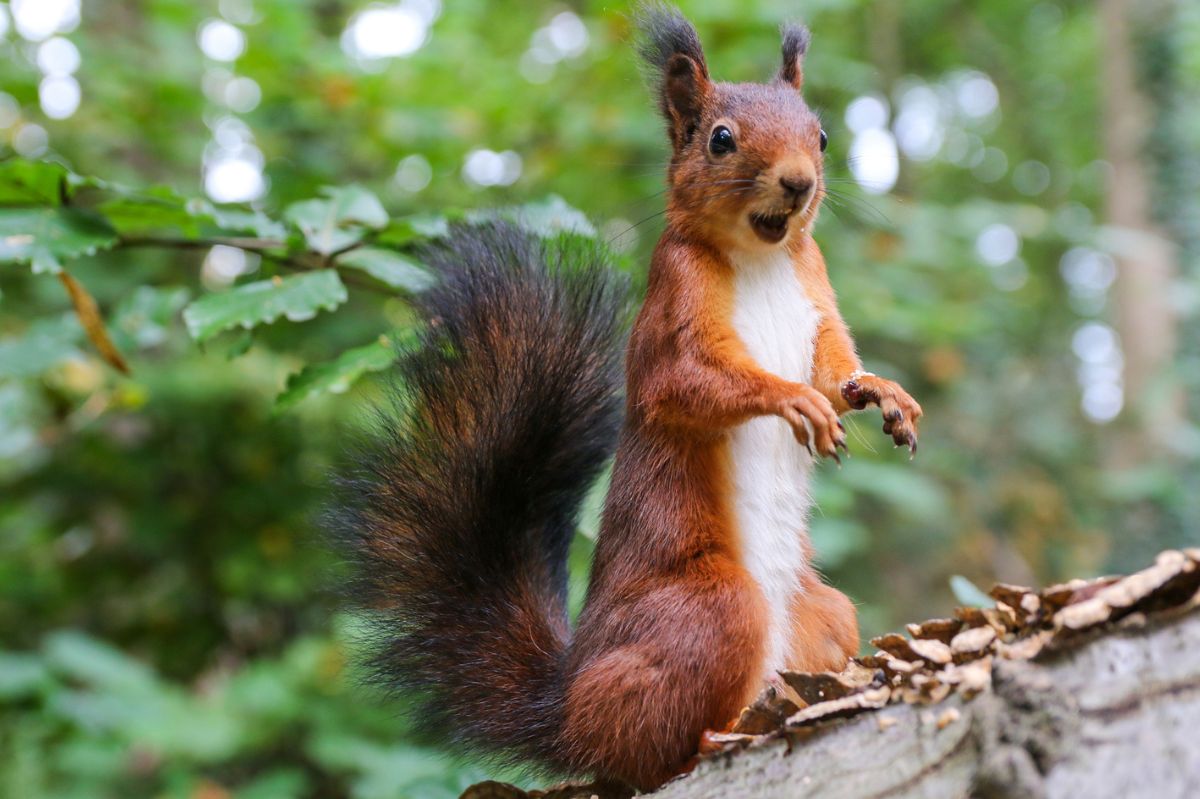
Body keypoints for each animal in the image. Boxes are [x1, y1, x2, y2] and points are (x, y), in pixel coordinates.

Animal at [333, 4, 921, 791]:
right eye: (721, 138)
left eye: (821, 136)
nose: (799, 182)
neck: (764, 257)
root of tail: (566, 707)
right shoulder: (672, 309)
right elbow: (692, 384)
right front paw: (793, 401)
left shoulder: (817, 296)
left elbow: (836, 370)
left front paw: (883, 393)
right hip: (707, 613)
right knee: (647, 752)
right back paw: (717, 737)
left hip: (824, 611)